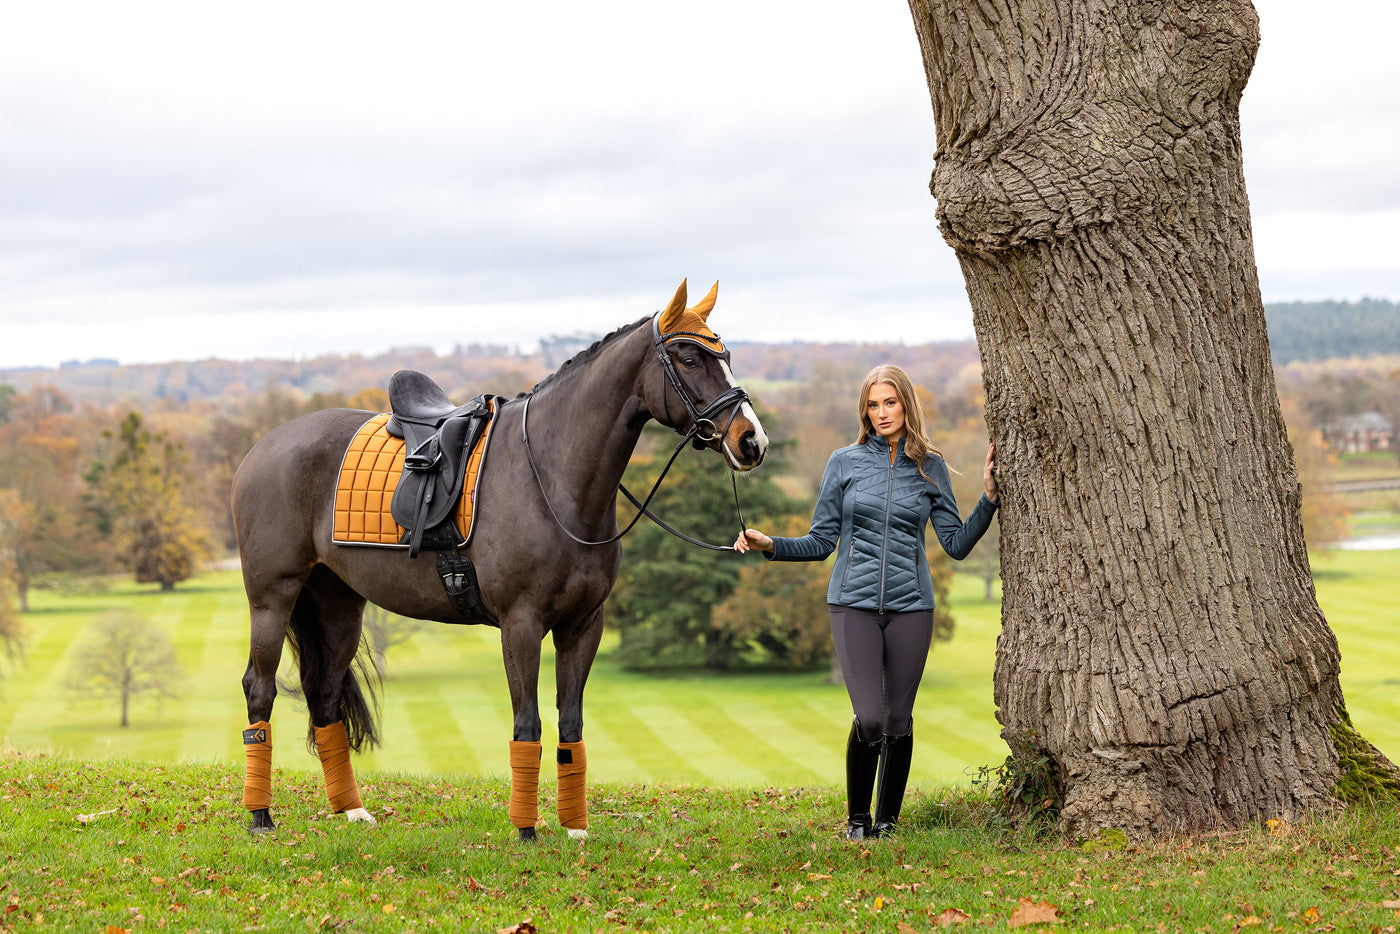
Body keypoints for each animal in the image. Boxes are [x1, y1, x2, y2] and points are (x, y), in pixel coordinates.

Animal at [233, 280, 772, 840]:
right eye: (688, 357)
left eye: (726, 356)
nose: (751, 440)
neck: (553, 478)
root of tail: (265, 445)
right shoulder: (521, 623)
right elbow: (527, 724)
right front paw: (527, 830)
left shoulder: (584, 624)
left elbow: (571, 724)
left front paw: (575, 830)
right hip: (274, 597)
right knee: (259, 690)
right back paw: (260, 816)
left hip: (338, 604)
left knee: (323, 694)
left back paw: (350, 809)